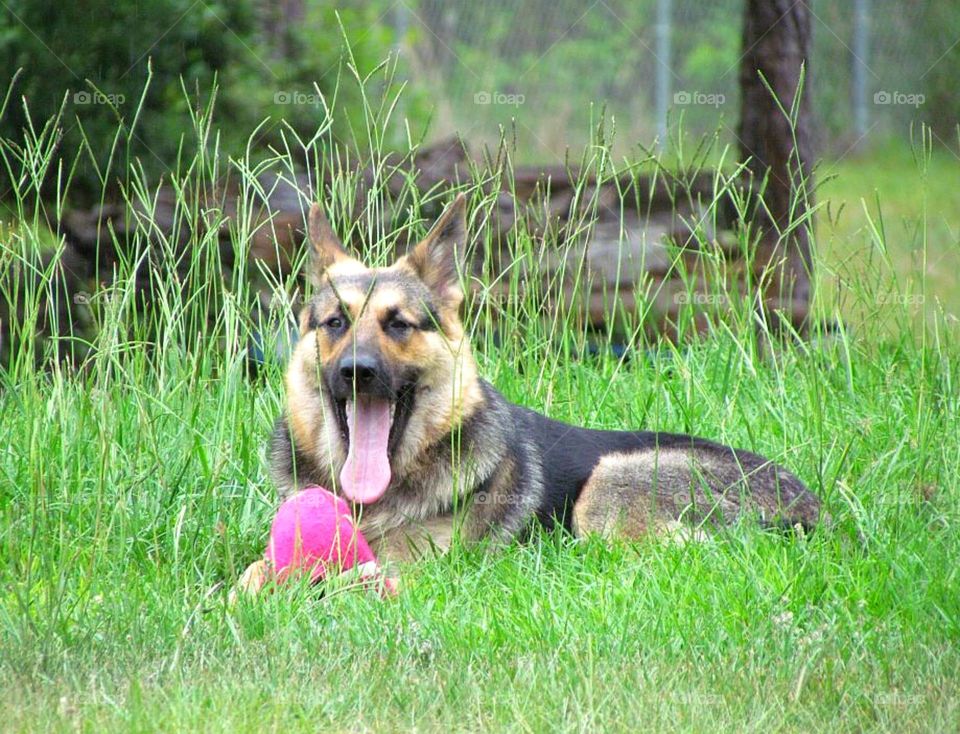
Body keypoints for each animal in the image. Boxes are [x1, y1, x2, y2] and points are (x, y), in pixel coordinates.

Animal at [253, 193, 816, 584]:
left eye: (398, 324)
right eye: (334, 323)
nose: (357, 370)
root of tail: (812, 508)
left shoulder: (415, 569)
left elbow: (352, 577)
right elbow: (255, 573)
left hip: (609, 485)